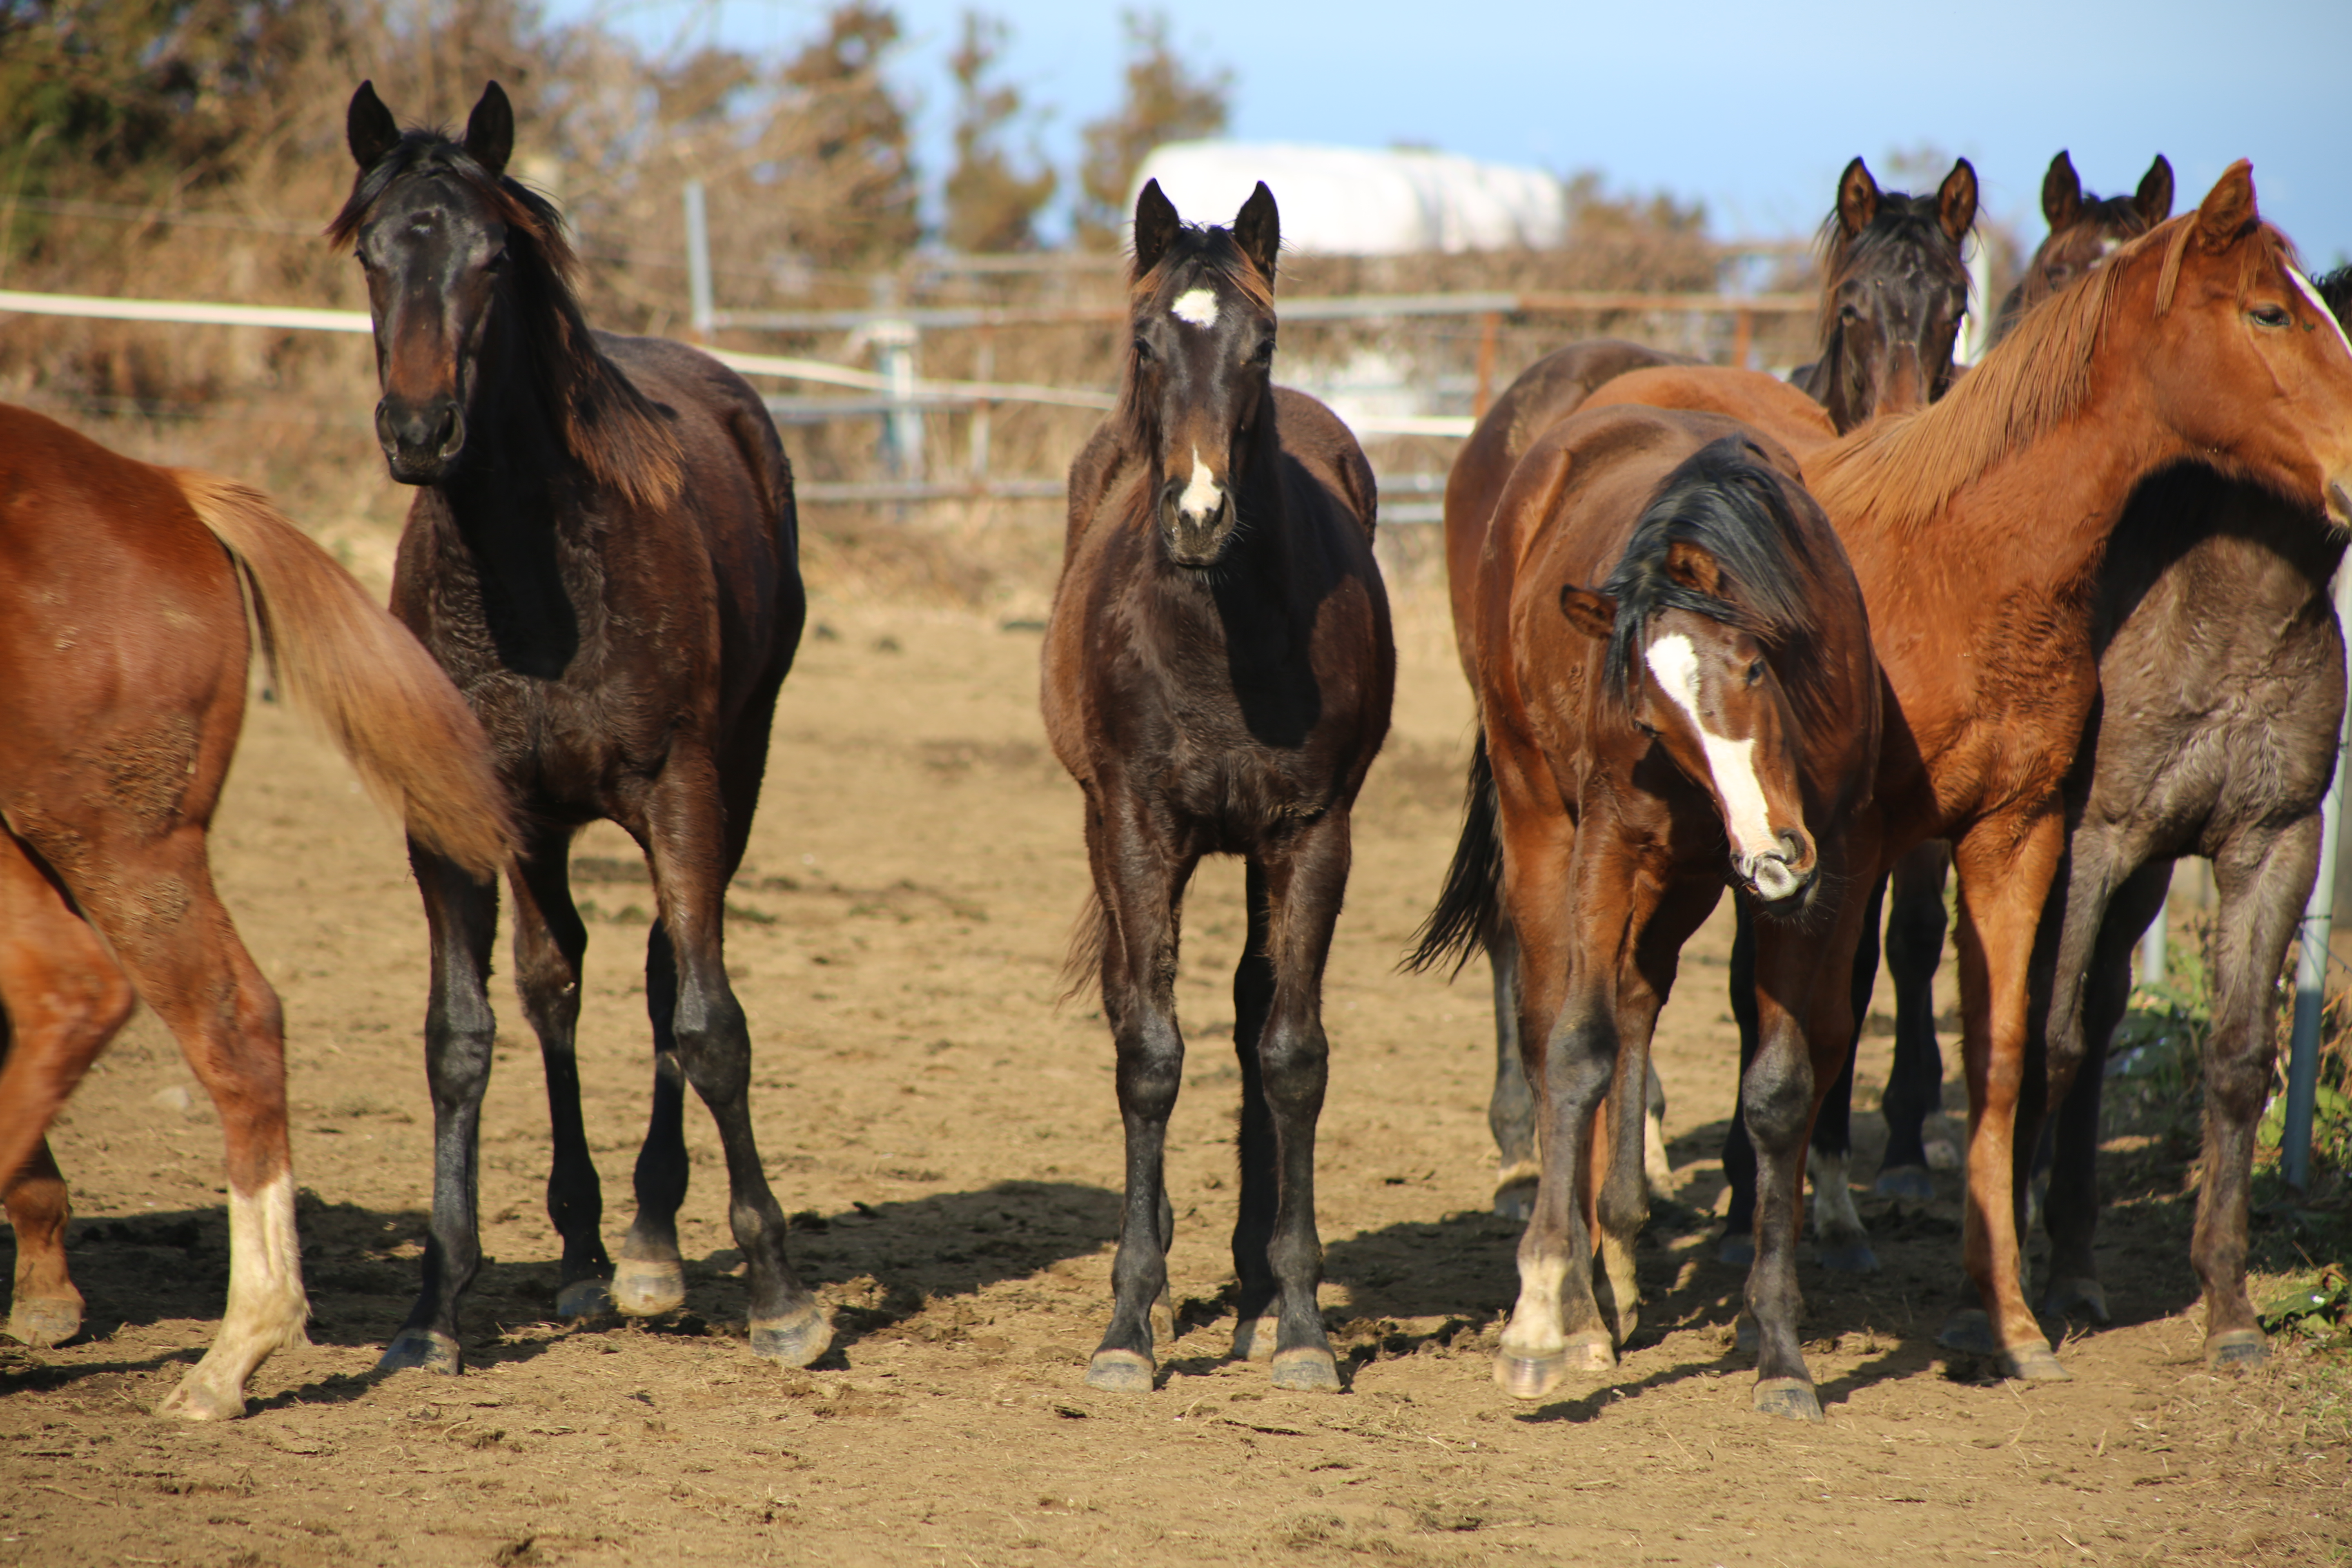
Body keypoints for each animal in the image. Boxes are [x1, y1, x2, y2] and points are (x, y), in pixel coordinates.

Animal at [332, 82, 828, 1373]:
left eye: (493, 259)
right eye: (370, 253)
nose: (419, 429)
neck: (530, 578)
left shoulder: (683, 791)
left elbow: (708, 1024)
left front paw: (781, 1296)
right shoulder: (454, 818)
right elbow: (462, 1037)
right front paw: (433, 1310)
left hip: (735, 773)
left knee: (662, 974)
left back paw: (653, 1246)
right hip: (546, 826)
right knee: (556, 980)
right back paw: (590, 1250)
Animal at [1049, 181, 1392, 1401]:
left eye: (1264, 344)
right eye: (1146, 340)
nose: (1198, 515)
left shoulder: (1312, 832)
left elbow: (1289, 1055)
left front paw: (1298, 1324)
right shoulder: (1138, 826)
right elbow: (1149, 1052)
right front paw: (1126, 1323)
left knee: (1251, 1014)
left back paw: (1251, 1292)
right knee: (1132, 1005)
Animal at [1401, 421, 1882, 1420]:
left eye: (1752, 665)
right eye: (1655, 722)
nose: (1771, 857)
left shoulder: (1835, 869)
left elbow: (1782, 1089)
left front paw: (1781, 1353)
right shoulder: (1613, 842)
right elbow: (1575, 1050)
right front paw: (1540, 1319)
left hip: (1688, 878)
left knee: (1636, 1005)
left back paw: (1618, 1254)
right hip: (1546, 824)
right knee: (1555, 1023)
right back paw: (1583, 1301)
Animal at [1590, 165, 2352, 1382]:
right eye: (2270, 314)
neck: (1960, 559)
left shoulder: (2026, 828)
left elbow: (2007, 1051)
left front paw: (2007, 1318)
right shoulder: (1861, 852)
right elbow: (1810, 1059)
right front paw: (1782, 1326)